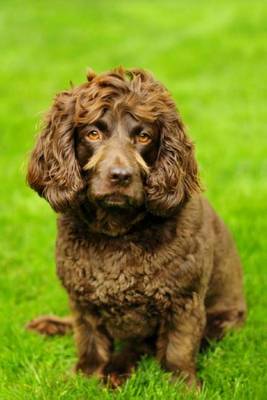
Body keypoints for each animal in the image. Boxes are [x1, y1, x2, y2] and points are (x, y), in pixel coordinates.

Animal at [27, 68, 247, 388]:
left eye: (143, 136)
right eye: (93, 133)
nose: (120, 175)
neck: (117, 233)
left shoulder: (184, 301)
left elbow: (177, 348)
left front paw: (183, 385)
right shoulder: (82, 299)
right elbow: (89, 339)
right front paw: (85, 374)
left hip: (223, 320)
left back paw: (118, 368)